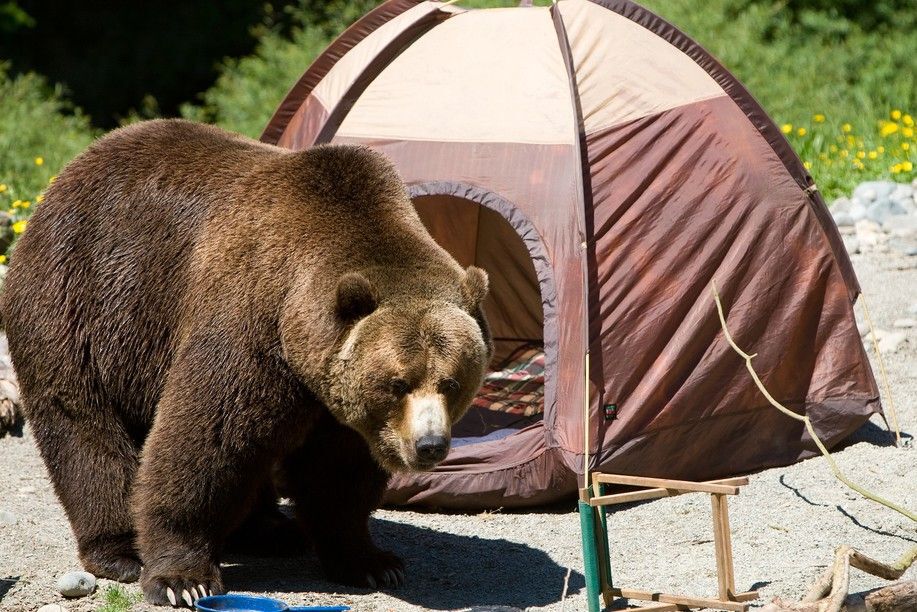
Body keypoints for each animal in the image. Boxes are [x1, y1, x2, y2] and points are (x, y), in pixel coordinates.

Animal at [1, 119, 492, 607]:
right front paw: (182, 578)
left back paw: (271, 531)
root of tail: (67, 175)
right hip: (82, 301)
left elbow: (338, 474)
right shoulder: (251, 323)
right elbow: (207, 439)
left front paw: (370, 561)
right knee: (84, 426)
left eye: (451, 383)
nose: (429, 445)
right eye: (398, 383)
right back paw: (121, 549)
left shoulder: (334, 398)